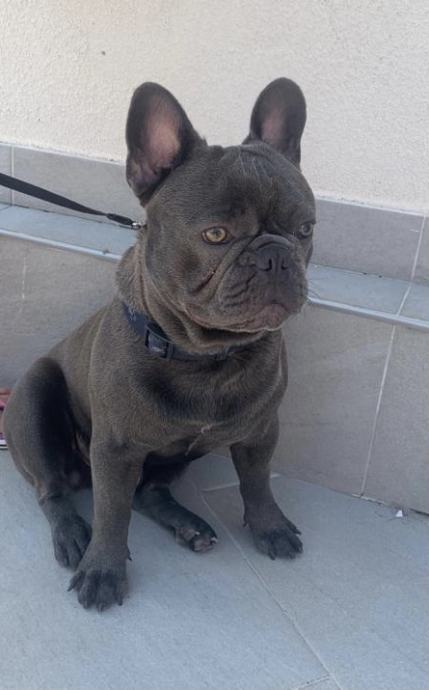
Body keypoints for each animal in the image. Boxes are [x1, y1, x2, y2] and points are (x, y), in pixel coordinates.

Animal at [4, 78, 316, 610]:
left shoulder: (259, 432)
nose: (276, 256)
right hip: (34, 397)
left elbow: (257, 483)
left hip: (180, 456)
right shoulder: (115, 451)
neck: (204, 355)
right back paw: (73, 536)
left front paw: (270, 527)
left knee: (148, 492)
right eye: (216, 234)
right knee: (53, 490)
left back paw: (188, 526)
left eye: (305, 229)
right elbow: (112, 514)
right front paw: (103, 571)